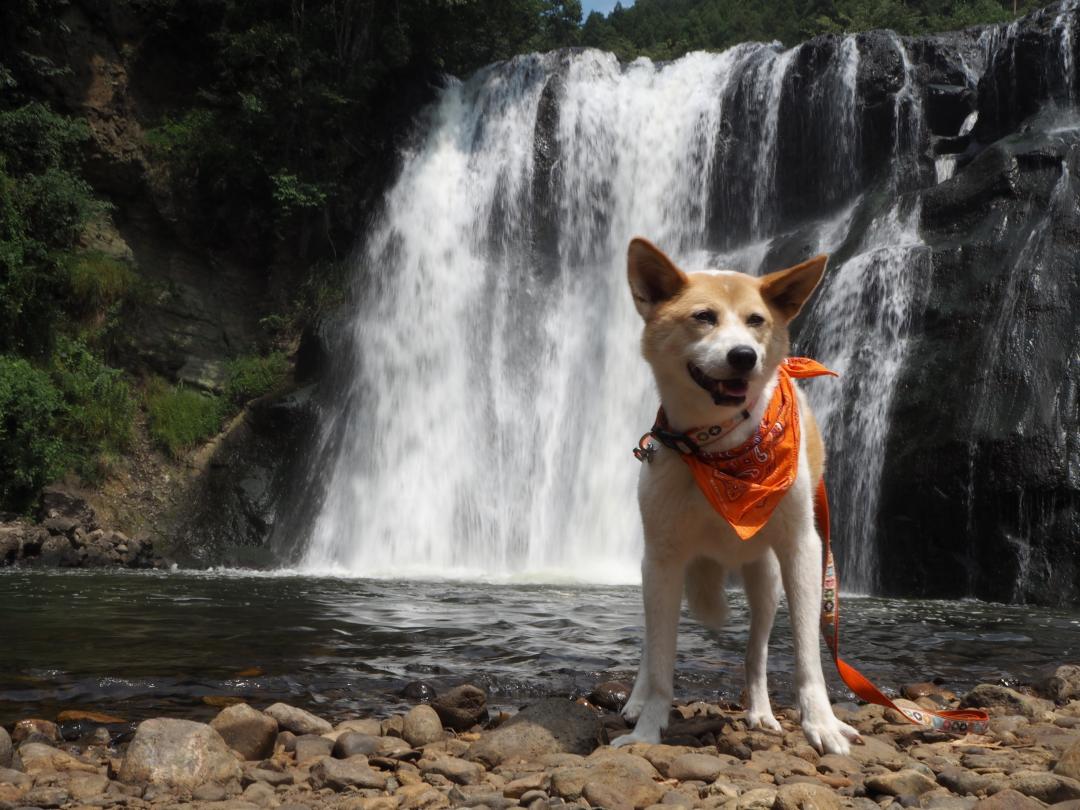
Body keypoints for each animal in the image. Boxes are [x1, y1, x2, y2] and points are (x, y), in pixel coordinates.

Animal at [617, 237, 859, 760]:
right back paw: (636, 698)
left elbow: (808, 655)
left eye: (756, 320)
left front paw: (822, 723)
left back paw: (761, 712)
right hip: (655, 572)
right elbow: (661, 661)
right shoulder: (662, 559)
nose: (744, 356)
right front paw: (647, 729)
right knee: (651, 644)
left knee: (755, 653)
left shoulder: (803, 549)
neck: (718, 447)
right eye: (704, 317)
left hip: (765, 579)